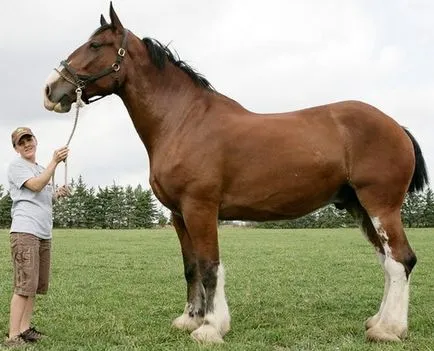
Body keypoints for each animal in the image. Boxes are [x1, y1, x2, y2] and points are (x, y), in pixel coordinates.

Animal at [42, 3, 428, 344]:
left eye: (95, 45)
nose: (50, 89)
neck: (183, 121)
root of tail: (397, 126)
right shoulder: (179, 214)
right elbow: (191, 267)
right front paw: (190, 319)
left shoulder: (200, 208)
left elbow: (210, 266)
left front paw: (211, 328)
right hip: (359, 207)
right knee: (387, 262)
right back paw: (378, 321)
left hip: (380, 205)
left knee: (400, 260)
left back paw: (388, 330)